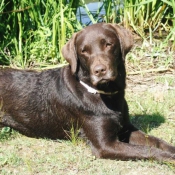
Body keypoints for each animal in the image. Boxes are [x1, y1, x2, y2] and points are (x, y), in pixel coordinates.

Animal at [0, 23, 175, 163]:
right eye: (84, 51)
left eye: (108, 44)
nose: (99, 70)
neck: (106, 94)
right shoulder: (105, 145)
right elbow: (146, 150)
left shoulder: (126, 128)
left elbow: (156, 142)